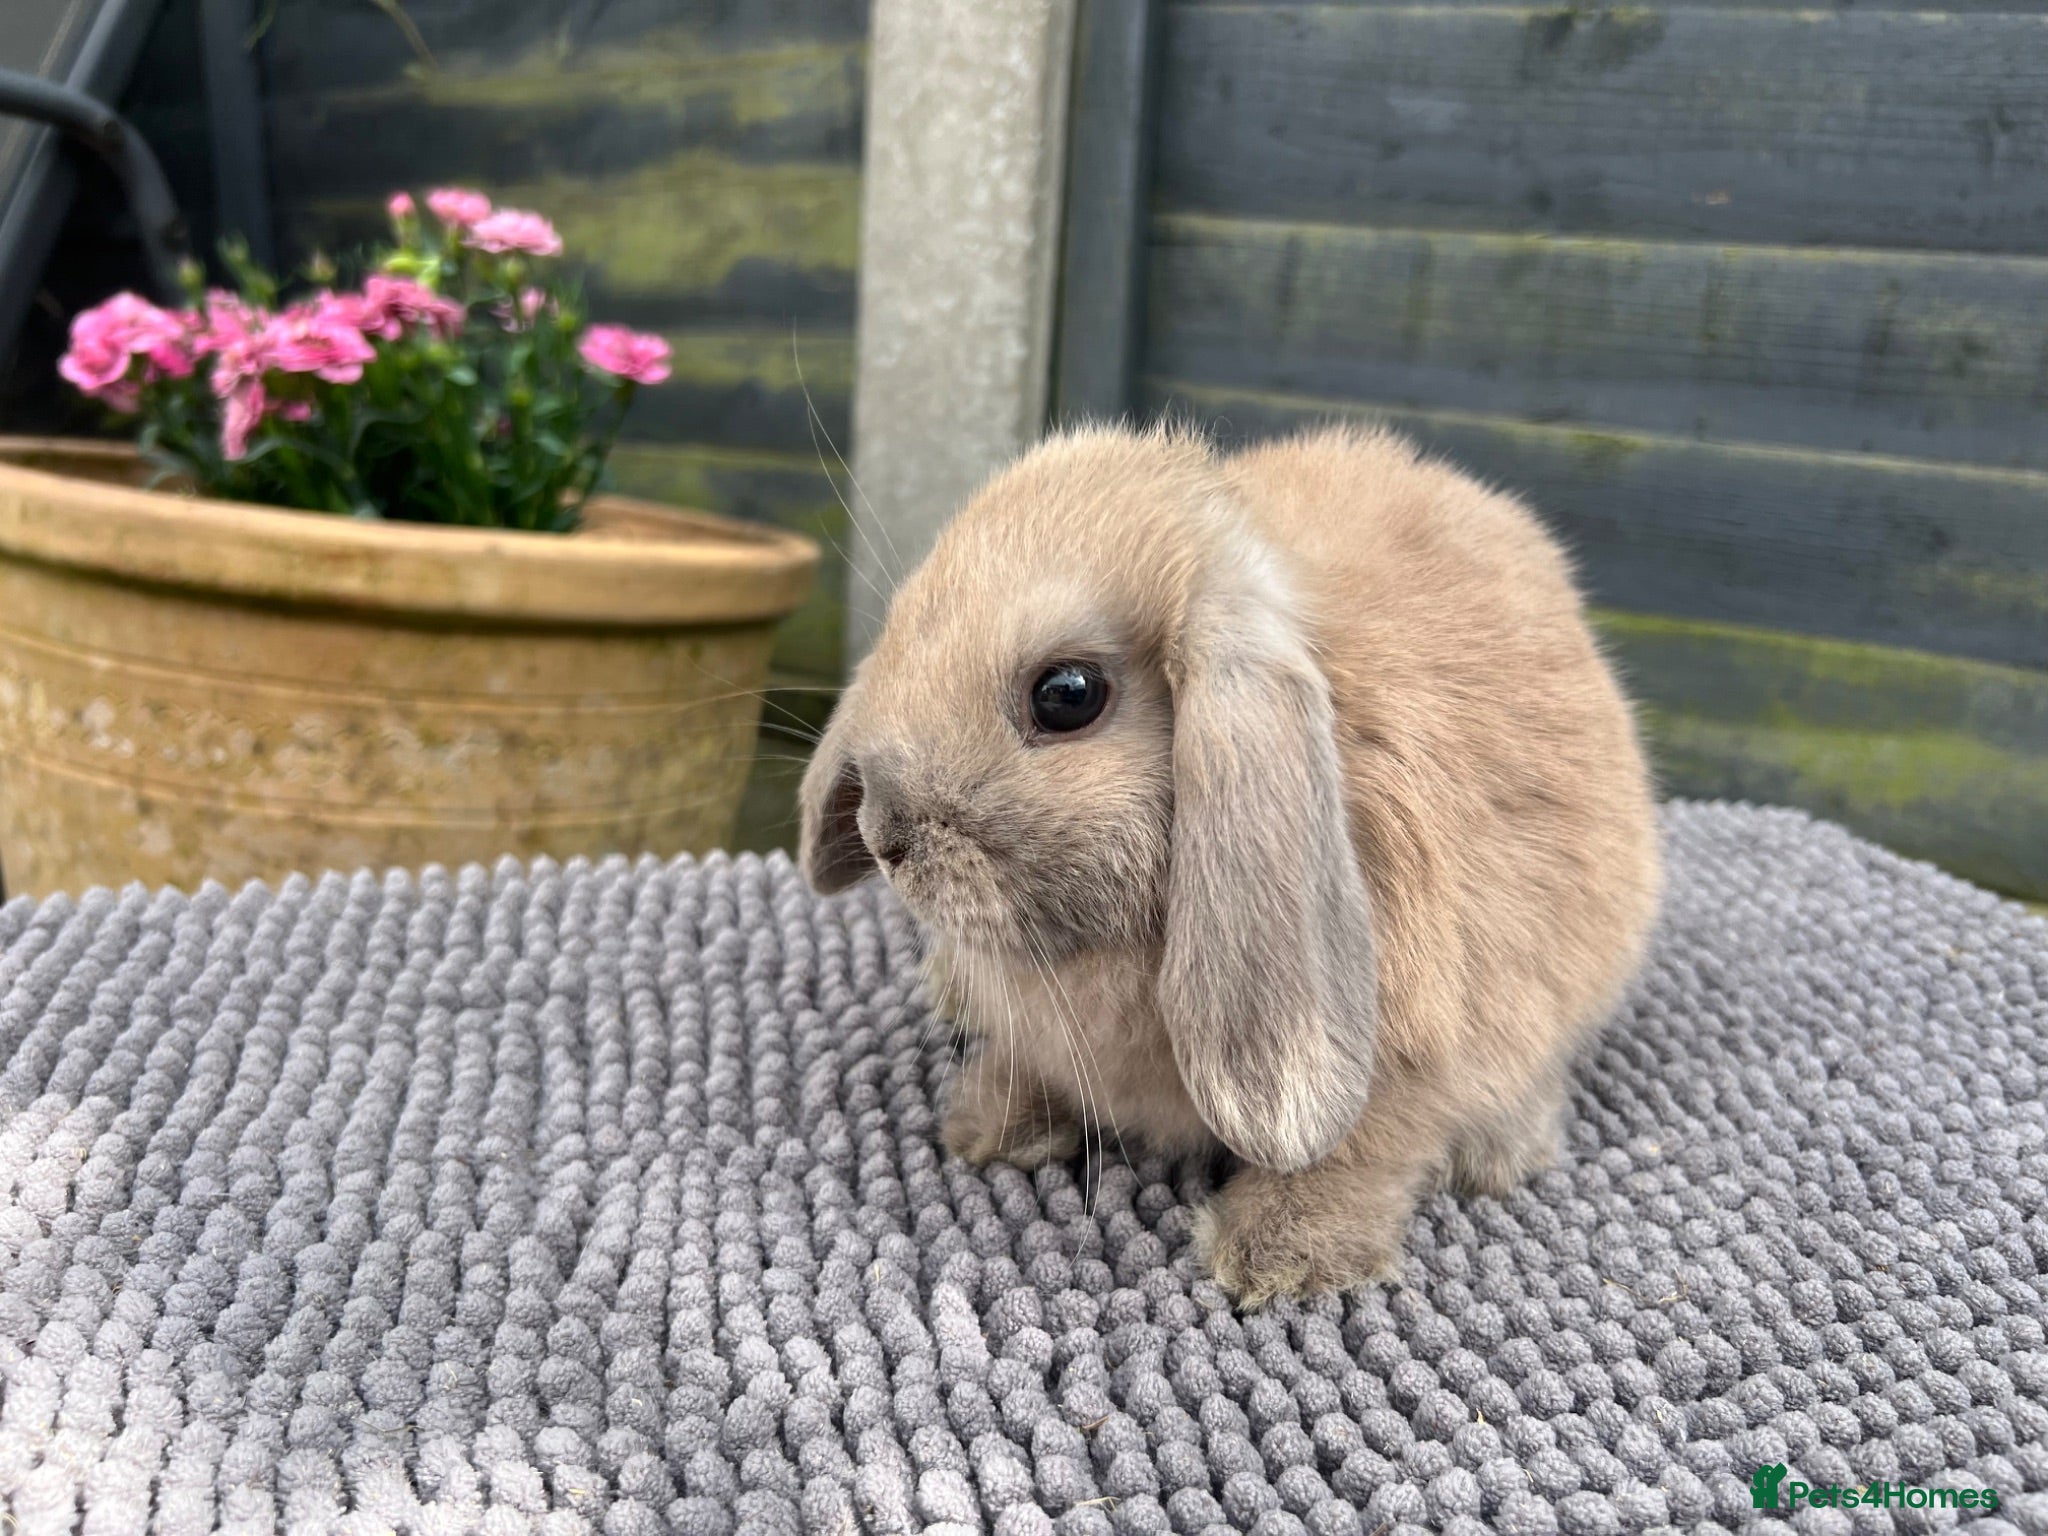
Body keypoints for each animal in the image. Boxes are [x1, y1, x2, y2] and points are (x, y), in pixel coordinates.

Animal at [799, 421, 1662, 1304]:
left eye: (1067, 694)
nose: (885, 836)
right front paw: (990, 1126)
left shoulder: (1418, 1048)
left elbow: (1363, 1147)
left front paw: (1281, 1255)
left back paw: (1500, 1154)